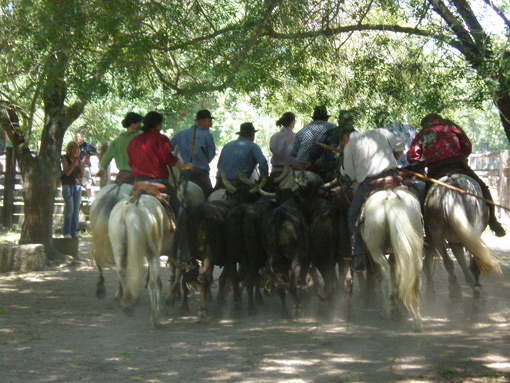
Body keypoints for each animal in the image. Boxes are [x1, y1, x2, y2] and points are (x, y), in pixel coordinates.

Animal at [108, 195, 174, 330]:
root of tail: (129, 210)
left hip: (119, 249)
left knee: (122, 273)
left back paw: (128, 302)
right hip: (153, 254)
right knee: (152, 283)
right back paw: (154, 319)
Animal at [360, 188, 424, 332]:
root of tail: (390, 197)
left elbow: (381, 277)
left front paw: (386, 309)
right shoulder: (395, 252)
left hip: (375, 249)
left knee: (386, 270)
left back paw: (391, 306)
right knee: (415, 272)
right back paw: (416, 319)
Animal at [422, 175, 502, 304]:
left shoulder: (455, 240)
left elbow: (460, 259)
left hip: (436, 234)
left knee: (448, 262)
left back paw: (455, 289)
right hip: (473, 231)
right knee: (475, 260)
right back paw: (476, 290)